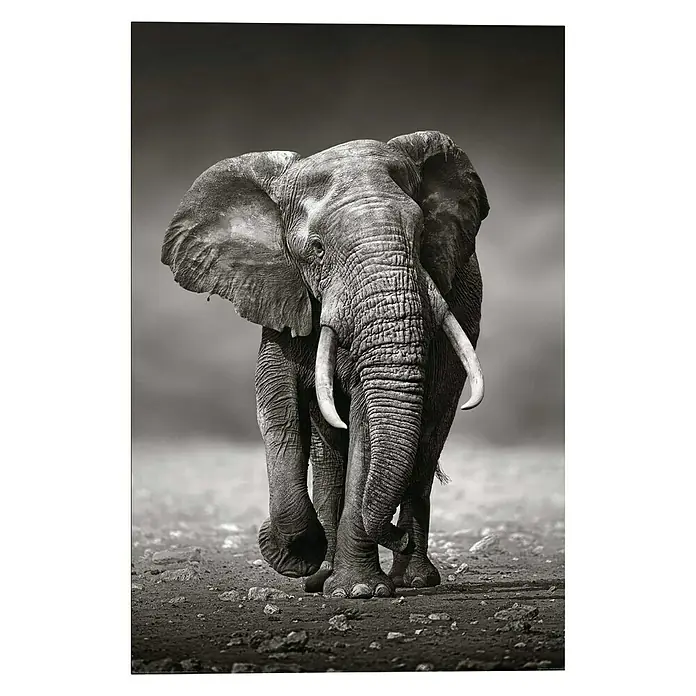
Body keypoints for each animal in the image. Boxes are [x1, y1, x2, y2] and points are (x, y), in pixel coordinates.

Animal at [161, 131, 489, 598]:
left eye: (422, 232)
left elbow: (367, 424)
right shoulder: (280, 293)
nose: (395, 536)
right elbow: (276, 408)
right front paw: (297, 555)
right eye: (316, 249)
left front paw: (360, 591)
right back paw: (322, 576)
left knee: (427, 441)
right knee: (329, 452)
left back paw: (412, 579)